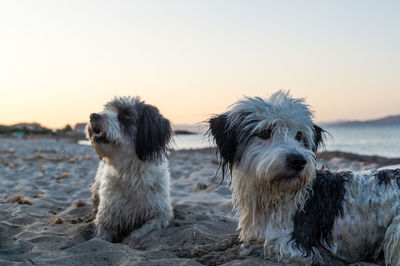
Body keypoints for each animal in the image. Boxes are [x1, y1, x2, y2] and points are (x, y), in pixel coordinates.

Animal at [86, 96, 173, 243]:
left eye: (126, 116)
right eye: (107, 109)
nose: (93, 115)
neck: (129, 171)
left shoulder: (161, 214)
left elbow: (143, 230)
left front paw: (130, 240)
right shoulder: (107, 216)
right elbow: (101, 238)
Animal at [209, 90, 400, 264]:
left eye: (299, 134)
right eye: (264, 132)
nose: (298, 161)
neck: (273, 194)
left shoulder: (293, 245)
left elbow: (269, 248)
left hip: (395, 232)